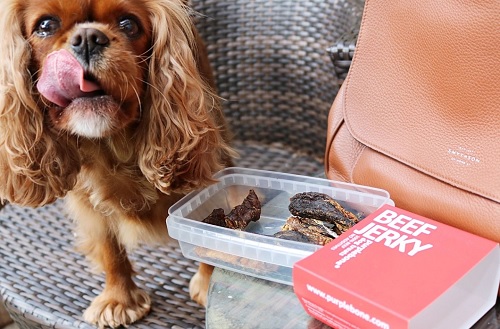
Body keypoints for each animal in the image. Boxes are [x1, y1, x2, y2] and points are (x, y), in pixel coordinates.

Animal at [0, 0, 235, 326]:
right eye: (45, 26)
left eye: (128, 24)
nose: (88, 38)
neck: (114, 143)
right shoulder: (88, 202)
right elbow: (110, 250)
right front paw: (118, 299)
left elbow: (207, 232)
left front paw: (208, 284)